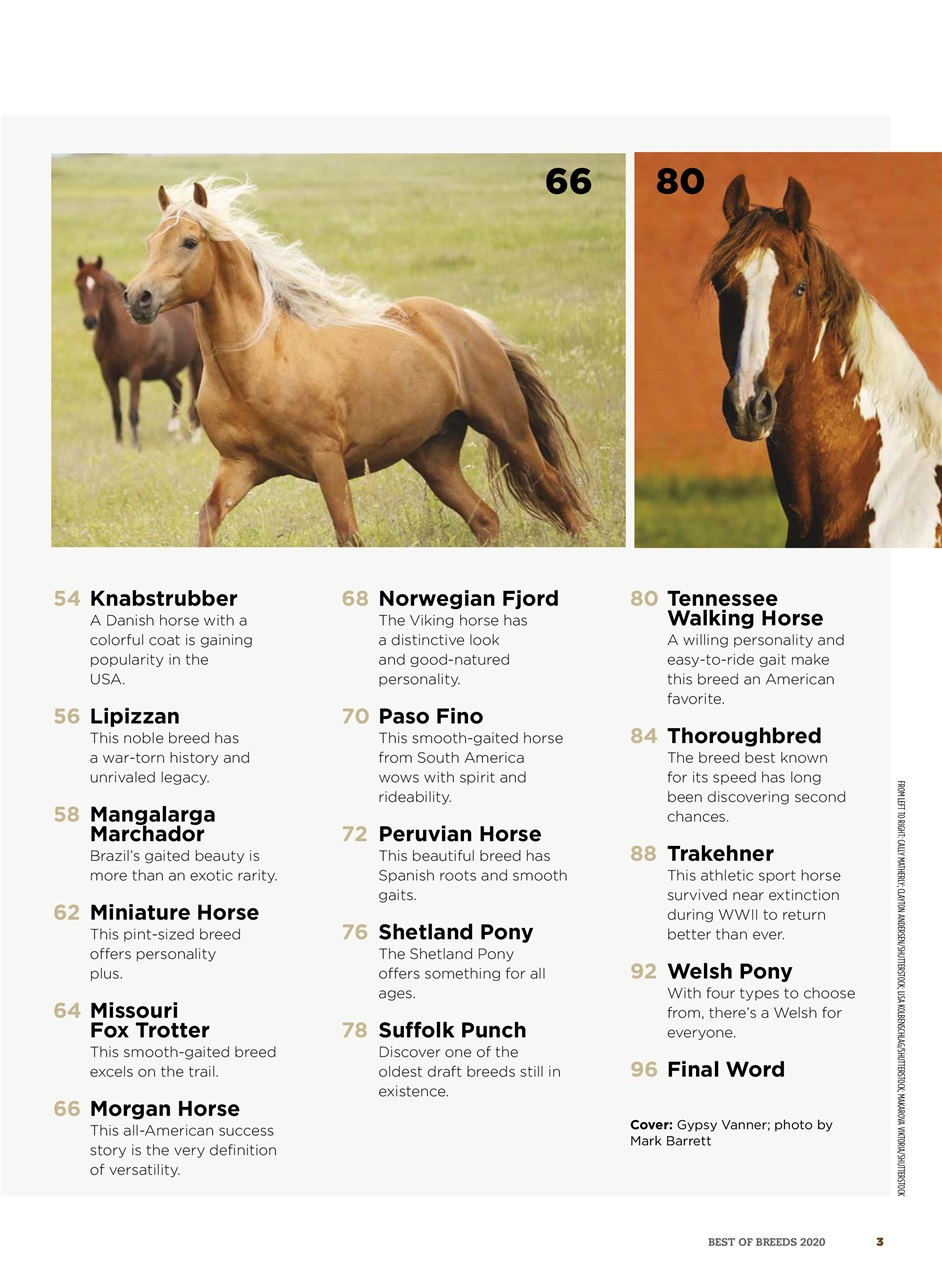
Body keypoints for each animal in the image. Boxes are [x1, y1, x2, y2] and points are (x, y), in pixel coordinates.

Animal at [74, 255, 203, 449]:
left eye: (100, 286)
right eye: (79, 286)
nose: (90, 321)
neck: (118, 330)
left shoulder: (134, 373)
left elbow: (133, 412)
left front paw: (136, 445)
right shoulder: (108, 374)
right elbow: (116, 412)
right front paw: (119, 444)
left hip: (197, 363)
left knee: (195, 397)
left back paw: (195, 437)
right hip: (165, 370)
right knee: (177, 388)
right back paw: (173, 432)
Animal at [124, 178, 592, 546]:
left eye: (189, 242)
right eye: (149, 243)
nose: (137, 298)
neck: (258, 364)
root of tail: (470, 322)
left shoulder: (327, 460)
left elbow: (348, 534)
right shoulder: (240, 467)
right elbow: (207, 520)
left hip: (508, 427)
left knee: (554, 489)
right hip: (434, 455)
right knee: (485, 519)